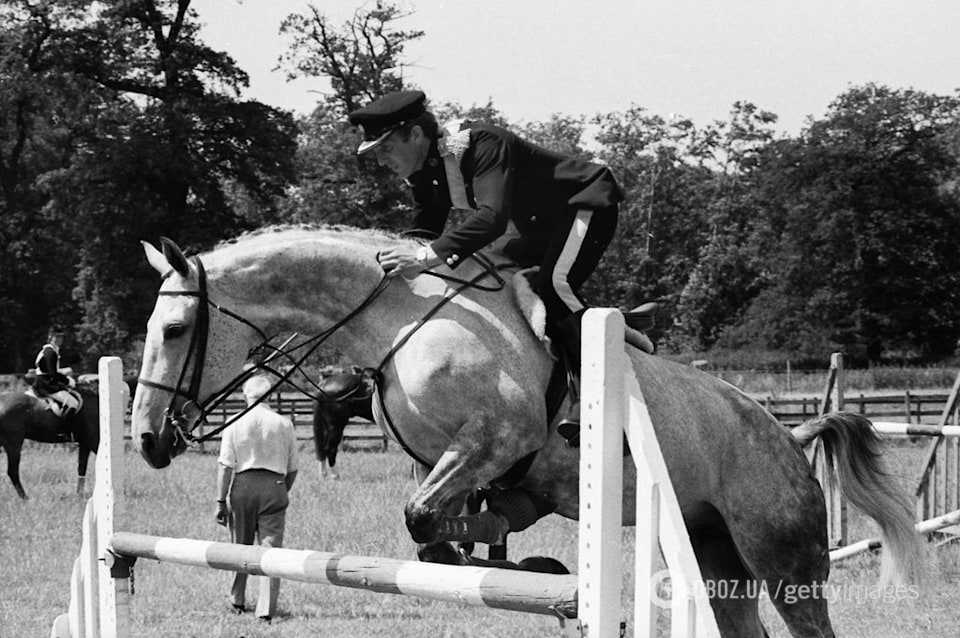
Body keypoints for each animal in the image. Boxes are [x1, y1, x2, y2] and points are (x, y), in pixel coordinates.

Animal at [129, 228, 924, 636]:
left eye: (172, 330)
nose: (146, 440)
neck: (399, 319)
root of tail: (791, 438)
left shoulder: (495, 439)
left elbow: (428, 515)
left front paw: (521, 558)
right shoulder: (449, 457)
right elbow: (435, 521)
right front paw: (493, 542)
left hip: (786, 563)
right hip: (713, 557)